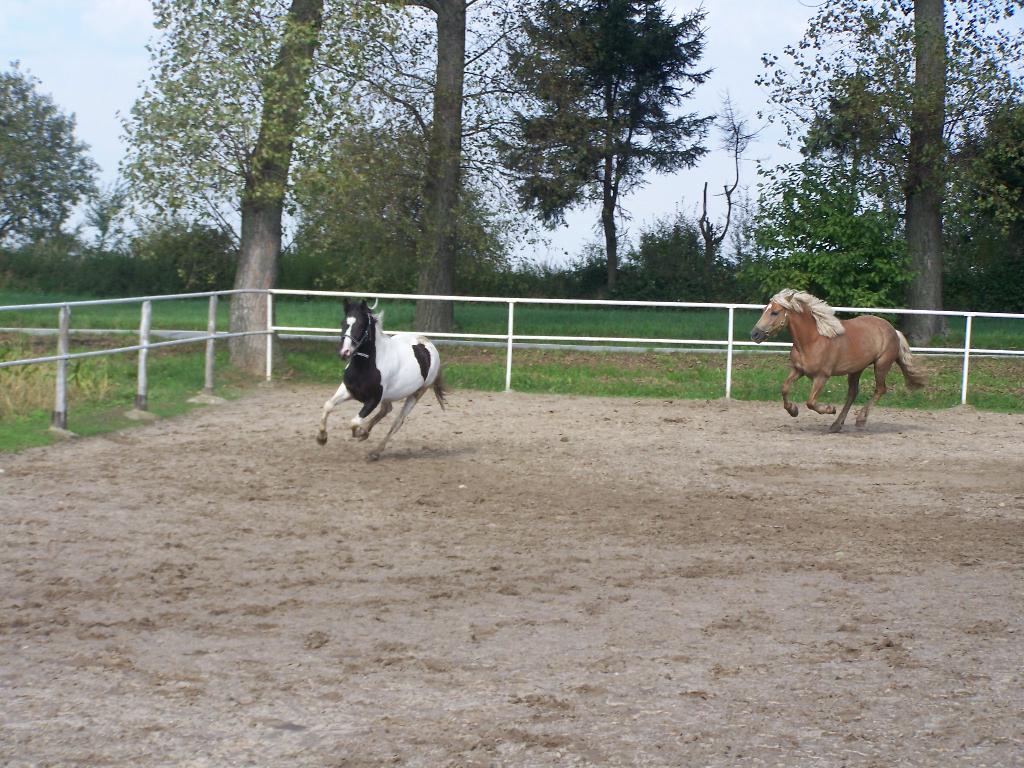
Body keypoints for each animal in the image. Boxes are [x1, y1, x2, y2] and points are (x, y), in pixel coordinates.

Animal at [313, 299, 446, 456]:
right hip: (388, 396)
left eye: (360, 325)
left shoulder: (373, 399)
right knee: (387, 410)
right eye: (343, 323)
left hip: (417, 393)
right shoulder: (348, 390)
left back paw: (375, 452)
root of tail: (428, 344)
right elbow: (328, 405)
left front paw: (361, 433)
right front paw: (321, 438)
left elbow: (354, 422)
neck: (365, 367)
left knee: (397, 422)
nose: (344, 352)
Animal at [745, 288, 929, 434]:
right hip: (856, 369)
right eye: (764, 310)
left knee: (880, 389)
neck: (812, 340)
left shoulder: (822, 376)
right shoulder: (798, 370)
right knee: (853, 393)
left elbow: (810, 402)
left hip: (881, 364)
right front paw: (793, 410)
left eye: (775, 312)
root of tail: (893, 330)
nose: (754, 334)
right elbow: (784, 388)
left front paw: (829, 408)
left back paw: (860, 419)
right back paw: (836, 425)